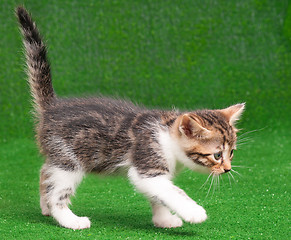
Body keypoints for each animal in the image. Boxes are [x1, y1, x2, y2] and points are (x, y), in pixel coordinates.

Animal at [15, 6, 244, 230]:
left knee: (45, 173)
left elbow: (160, 196)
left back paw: (45, 207)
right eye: (217, 155)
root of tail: (52, 107)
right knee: (57, 192)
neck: (167, 136)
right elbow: (172, 191)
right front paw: (194, 212)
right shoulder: (147, 165)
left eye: (231, 152)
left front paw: (164, 220)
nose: (227, 169)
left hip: (59, 157)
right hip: (69, 159)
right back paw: (70, 220)